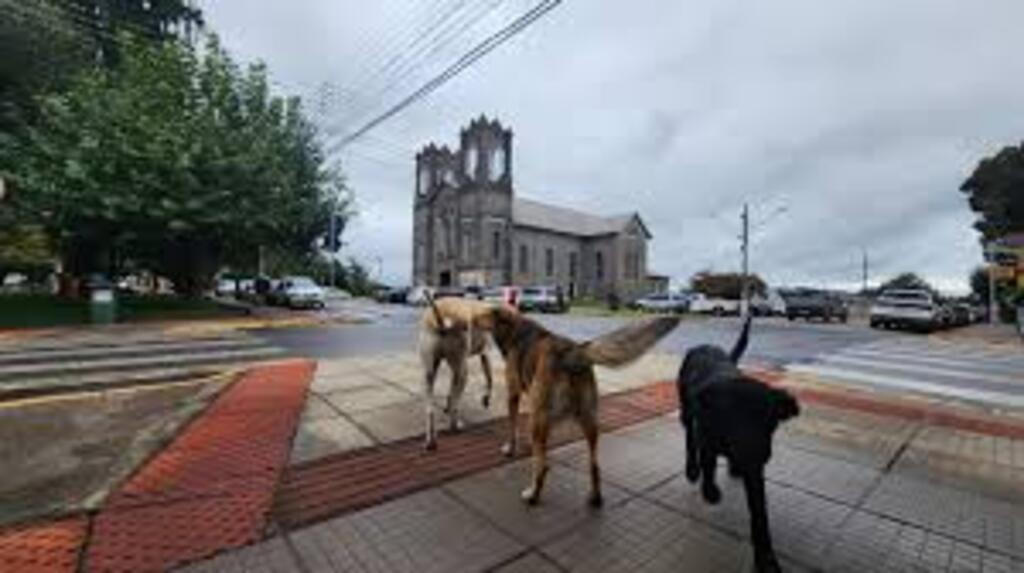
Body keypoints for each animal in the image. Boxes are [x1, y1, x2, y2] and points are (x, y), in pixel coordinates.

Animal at [415, 294, 495, 452]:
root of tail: (440, 317)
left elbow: (450, 391)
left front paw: (447, 405)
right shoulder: (485, 353)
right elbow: (490, 379)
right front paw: (486, 399)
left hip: (429, 371)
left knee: (430, 410)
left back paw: (430, 441)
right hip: (462, 369)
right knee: (456, 402)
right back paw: (455, 426)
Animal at [487, 306, 679, 507]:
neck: (516, 329)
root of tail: (572, 352)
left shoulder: (513, 395)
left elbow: (512, 427)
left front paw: (510, 448)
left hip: (538, 419)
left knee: (543, 466)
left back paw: (533, 495)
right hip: (589, 421)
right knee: (594, 465)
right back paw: (595, 497)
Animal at [679, 315, 798, 568]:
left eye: (769, 421)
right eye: (729, 418)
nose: (754, 453)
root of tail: (705, 345)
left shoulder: (755, 468)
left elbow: (759, 511)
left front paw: (765, 557)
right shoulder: (707, 438)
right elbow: (708, 464)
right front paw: (710, 491)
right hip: (685, 410)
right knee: (689, 437)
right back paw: (692, 469)